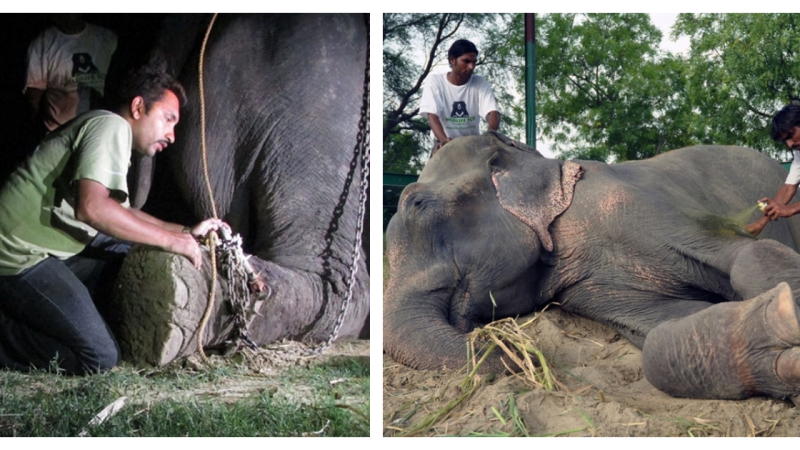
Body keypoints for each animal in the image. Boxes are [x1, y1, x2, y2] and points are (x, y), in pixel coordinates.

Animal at [386, 131, 800, 400]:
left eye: (417, 204)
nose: (517, 355)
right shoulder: (586, 286)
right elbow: (661, 332)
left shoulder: (635, 202)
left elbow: (747, 253)